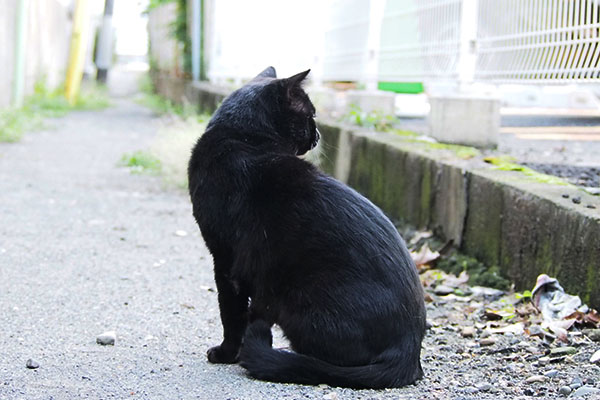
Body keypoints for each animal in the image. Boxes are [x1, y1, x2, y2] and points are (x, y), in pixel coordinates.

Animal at [188, 67, 426, 390]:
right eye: (311, 114)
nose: (318, 134)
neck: (240, 137)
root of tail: (410, 349)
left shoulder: (225, 261)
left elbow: (231, 313)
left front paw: (226, 353)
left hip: (298, 297)